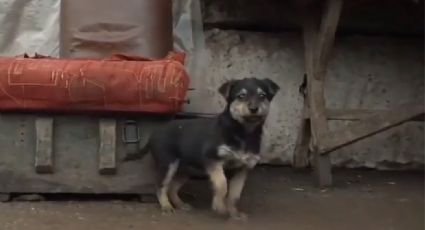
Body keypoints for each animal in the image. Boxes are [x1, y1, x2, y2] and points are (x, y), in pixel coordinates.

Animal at [148, 77, 278, 219]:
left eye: (262, 96)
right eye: (241, 96)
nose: (254, 108)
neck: (243, 132)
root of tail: (156, 132)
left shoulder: (243, 169)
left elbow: (234, 194)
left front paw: (234, 213)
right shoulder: (212, 159)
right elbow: (222, 184)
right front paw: (219, 207)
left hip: (187, 169)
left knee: (172, 187)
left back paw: (180, 204)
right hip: (168, 164)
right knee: (160, 186)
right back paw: (166, 206)